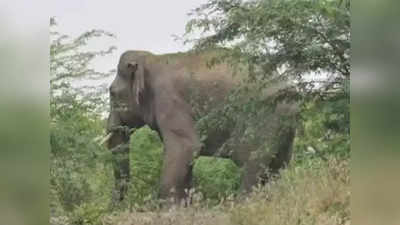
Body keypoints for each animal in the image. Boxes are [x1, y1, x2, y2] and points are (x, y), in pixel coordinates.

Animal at [104, 50, 298, 203]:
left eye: (112, 93)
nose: (116, 206)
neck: (150, 59)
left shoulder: (170, 102)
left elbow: (185, 147)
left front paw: (169, 208)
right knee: (276, 167)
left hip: (262, 117)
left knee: (251, 162)